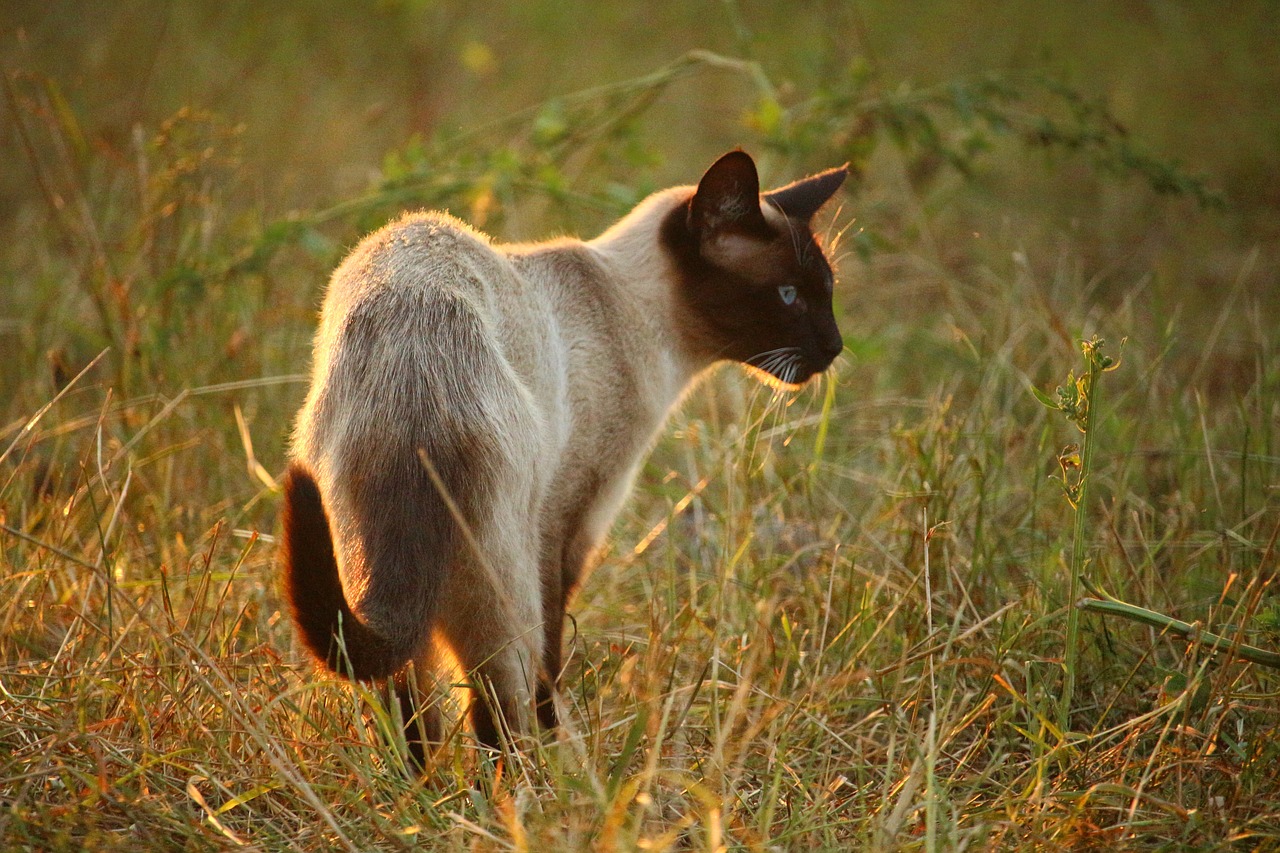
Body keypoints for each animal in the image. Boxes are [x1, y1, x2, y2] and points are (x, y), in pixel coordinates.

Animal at [285, 149, 855, 753]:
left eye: (827, 292)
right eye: (789, 295)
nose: (834, 347)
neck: (638, 314)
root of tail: (413, 373)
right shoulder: (570, 520)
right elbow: (551, 660)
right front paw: (561, 736)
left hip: (365, 566)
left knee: (409, 712)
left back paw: (428, 780)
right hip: (505, 585)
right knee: (497, 712)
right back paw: (538, 775)